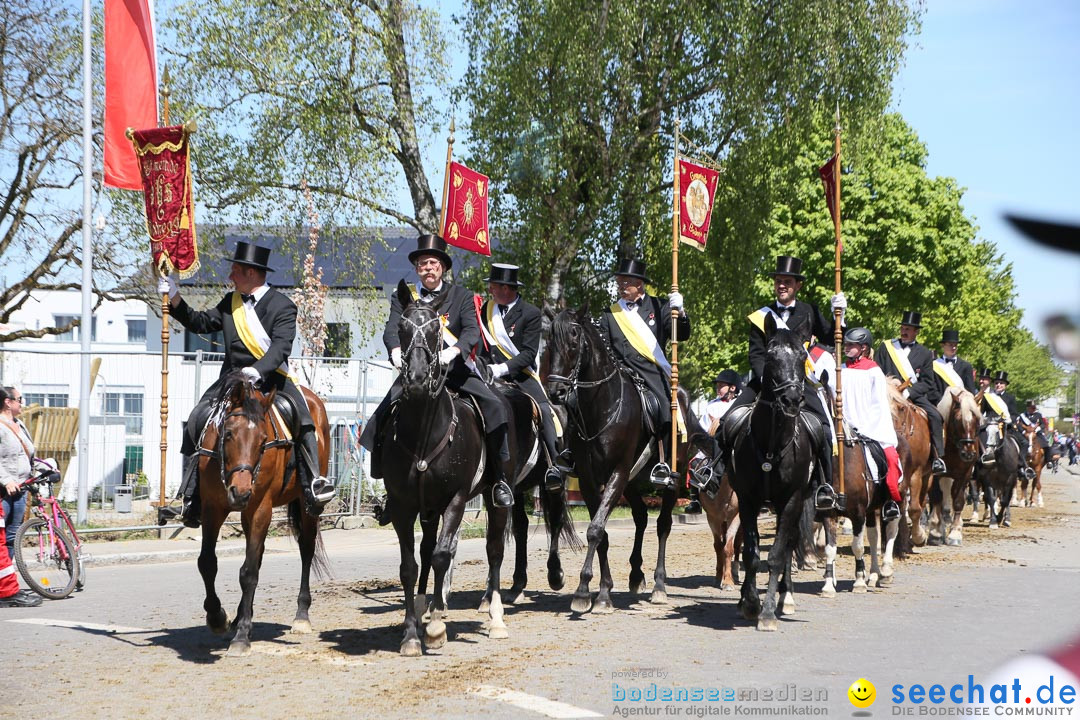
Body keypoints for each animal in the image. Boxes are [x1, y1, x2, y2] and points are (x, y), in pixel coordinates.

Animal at [194, 371, 328, 660]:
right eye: (228, 433)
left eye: (263, 439)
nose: (241, 492)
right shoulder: (212, 508)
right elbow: (208, 562)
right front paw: (218, 617)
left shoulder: (260, 509)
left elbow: (248, 572)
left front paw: (242, 636)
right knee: (260, 555)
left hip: (305, 505)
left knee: (306, 550)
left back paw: (301, 616)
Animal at [548, 308, 699, 613]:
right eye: (548, 340)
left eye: (573, 338)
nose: (555, 391)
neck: (601, 407)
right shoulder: (589, 480)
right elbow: (601, 533)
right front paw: (601, 590)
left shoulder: (617, 472)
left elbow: (595, 530)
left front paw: (585, 591)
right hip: (631, 480)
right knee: (641, 516)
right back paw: (636, 574)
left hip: (670, 478)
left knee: (663, 524)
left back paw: (659, 585)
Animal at [924, 388, 984, 546]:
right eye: (957, 420)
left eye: (977, 421)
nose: (968, 454)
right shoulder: (936, 474)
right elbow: (936, 499)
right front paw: (936, 532)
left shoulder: (964, 475)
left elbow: (958, 501)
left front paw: (955, 533)